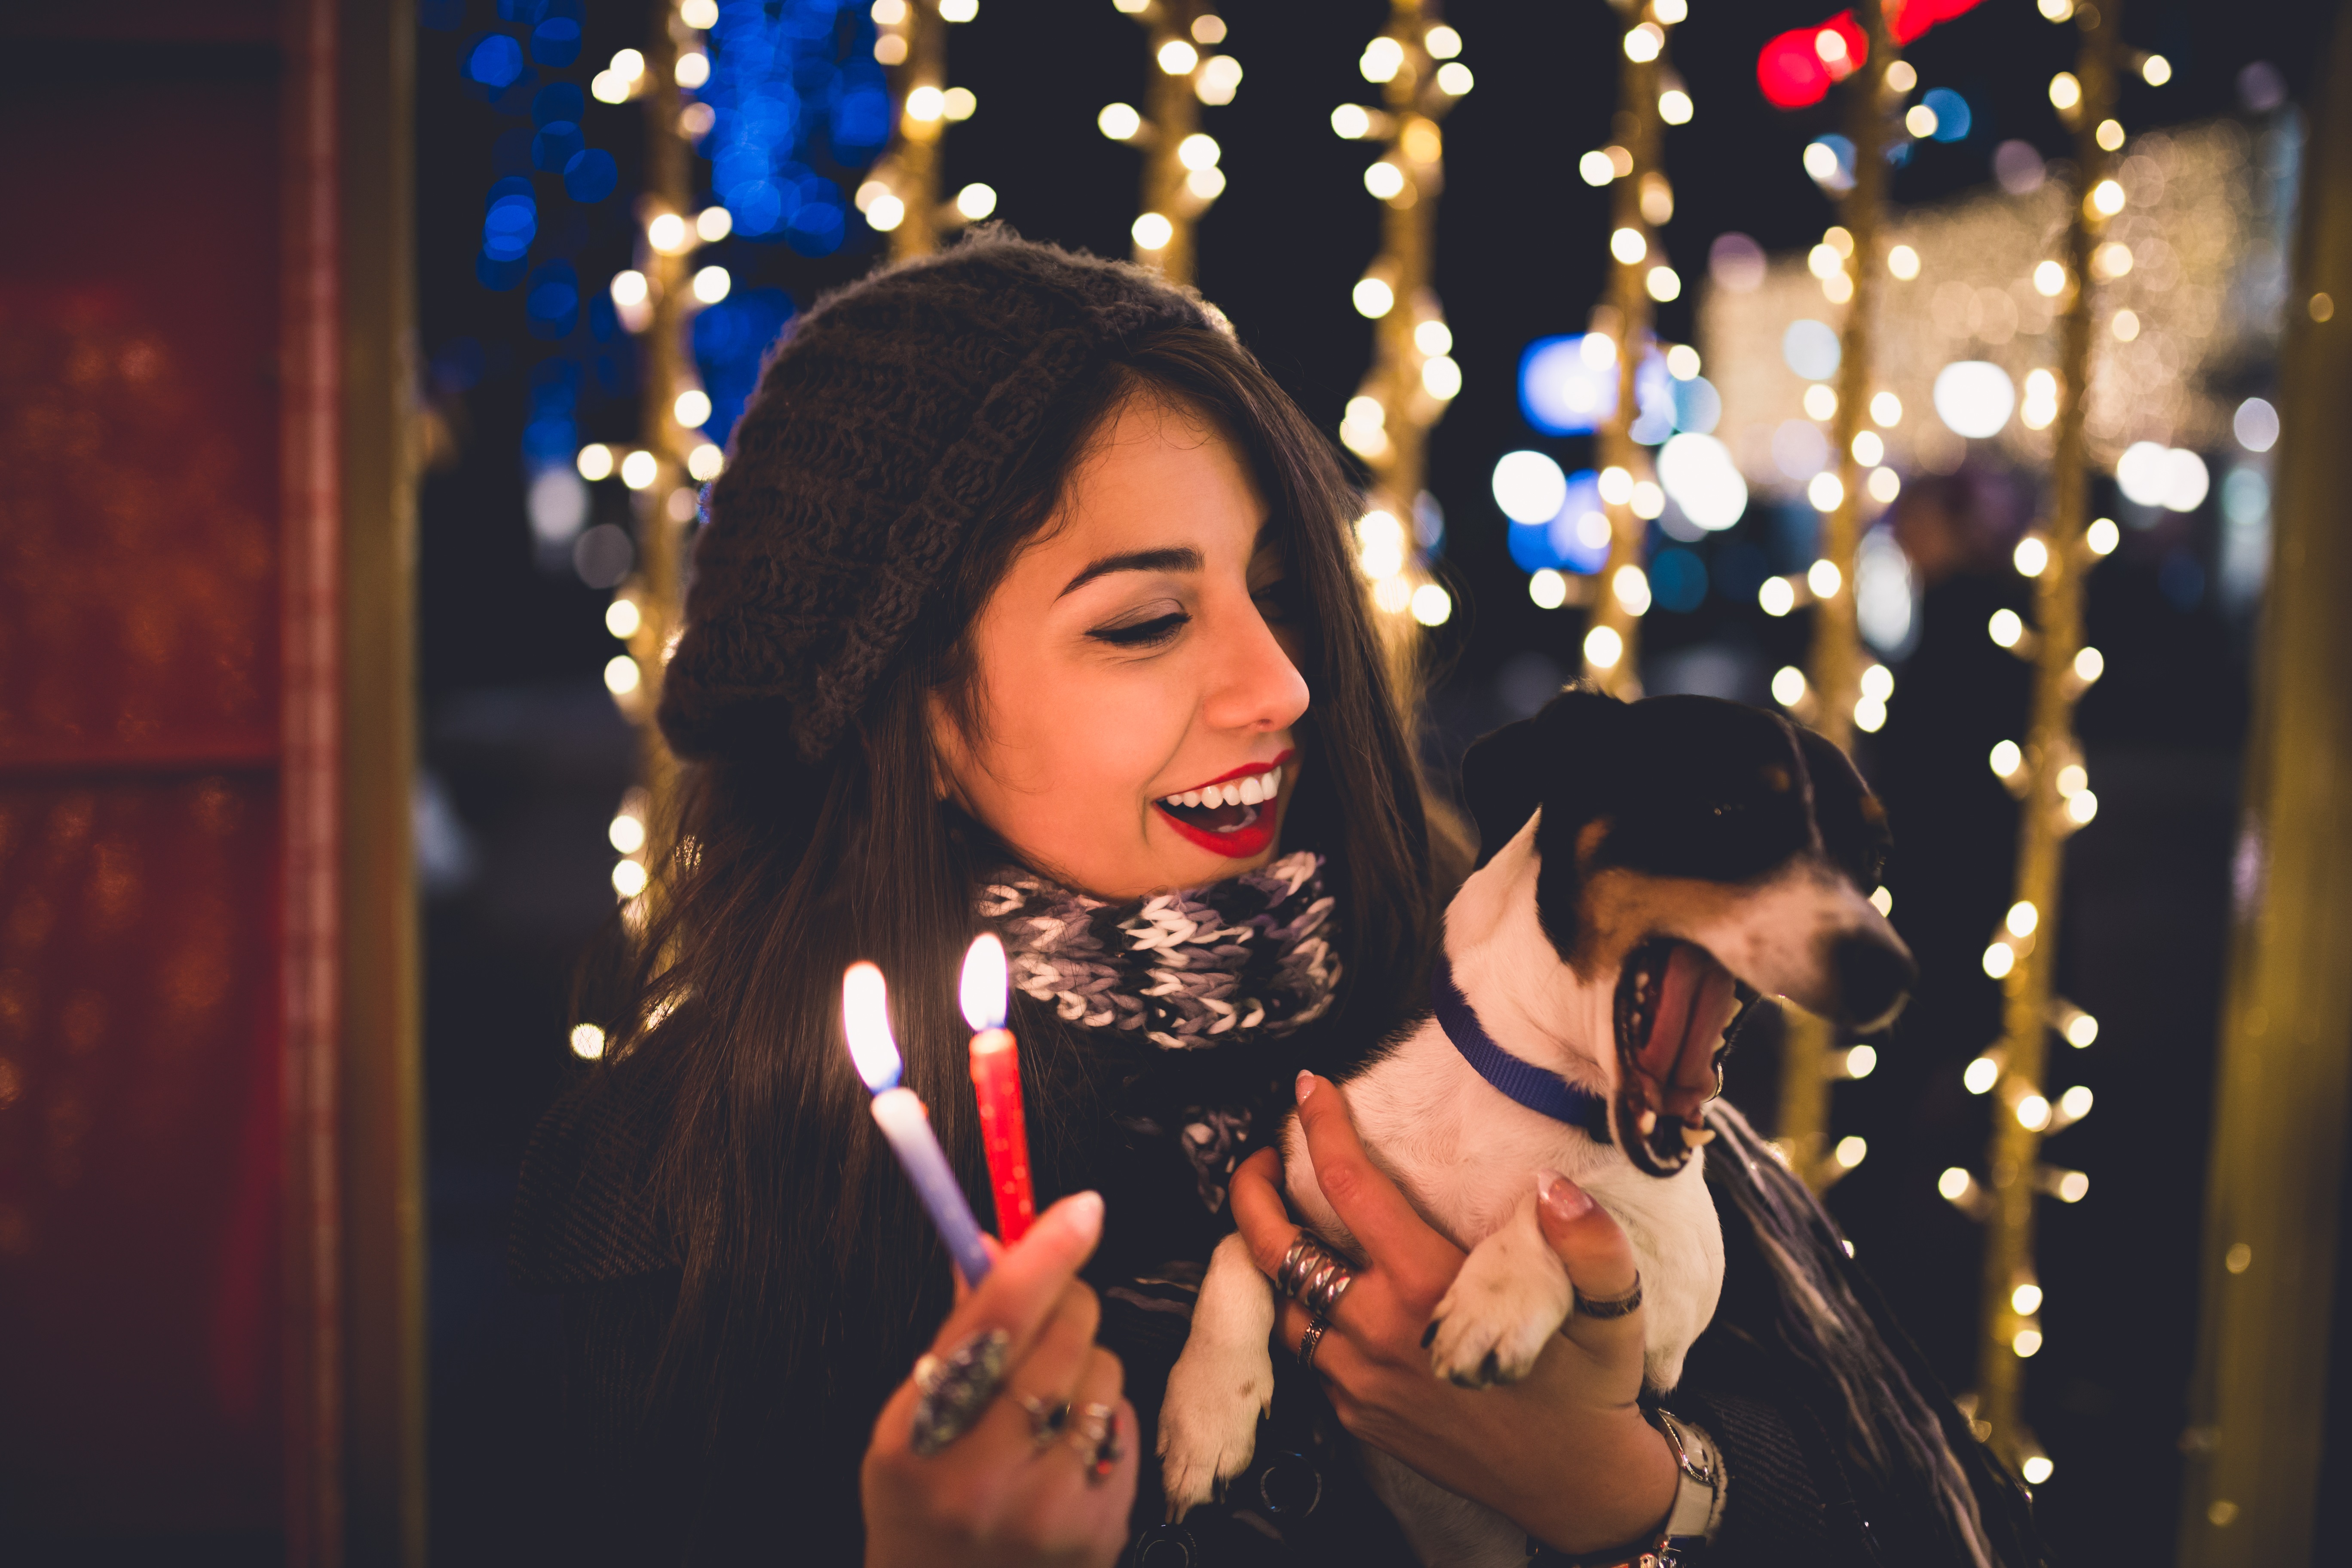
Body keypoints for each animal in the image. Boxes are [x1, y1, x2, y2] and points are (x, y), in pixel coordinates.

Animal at [1157, 691, 1910, 1561]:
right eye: (1723, 808)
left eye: (1872, 863)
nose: (1890, 969)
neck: (1527, 1085)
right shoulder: (1288, 1177)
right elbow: (1234, 1247)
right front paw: (1207, 1410)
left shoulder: (1679, 1314)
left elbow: (1576, 1208)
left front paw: (1502, 1287)